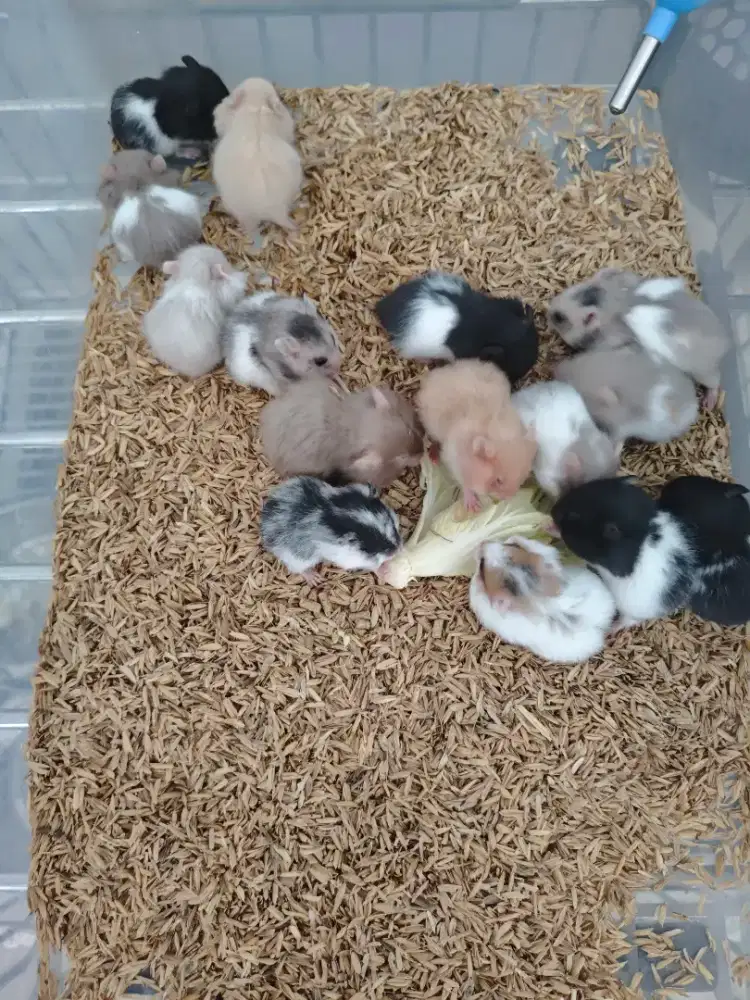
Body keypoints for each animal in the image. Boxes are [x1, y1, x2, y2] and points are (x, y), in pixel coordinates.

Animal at [260, 476, 402, 583]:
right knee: (298, 569)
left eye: (393, 526)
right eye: (368, 547)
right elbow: (372, 566)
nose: (397, 551)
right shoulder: (347, 559)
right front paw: (384, 571)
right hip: (297, 559)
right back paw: (315, 579)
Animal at [417, 359, 537, 512]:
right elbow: (465, 484)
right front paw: (473, 507)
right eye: (498, 480)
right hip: (429, 423)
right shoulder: (454, 460)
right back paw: (433, 457)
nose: (507, 499)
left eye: (522, 480)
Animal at [551, 477, 696, 631]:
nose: (552, 511)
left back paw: (612, 629)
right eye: (579, 490)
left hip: (631, 608)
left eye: (573, 515)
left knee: (629, 621)